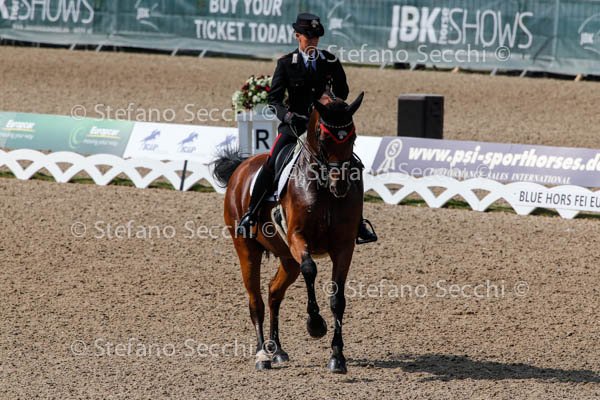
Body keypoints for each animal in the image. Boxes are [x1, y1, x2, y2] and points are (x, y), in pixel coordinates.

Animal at [212, 92, 365, 373]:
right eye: (324, 138)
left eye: (353, 137)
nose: (340, 185)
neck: (323, 186)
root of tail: (241, 167)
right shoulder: (297, 238)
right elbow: (310, 269)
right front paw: (315, 324)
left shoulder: (344, 246)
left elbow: (337, 299)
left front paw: (337, 356)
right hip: (247, 250)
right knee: (256, 301)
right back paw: (262, 355)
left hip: (286, 258)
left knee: (274, 293)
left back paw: (277, 350)